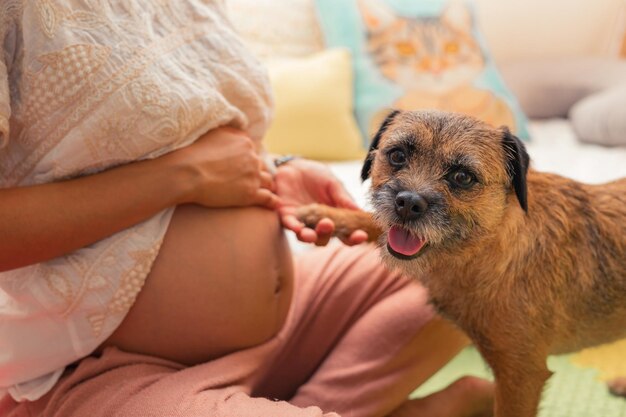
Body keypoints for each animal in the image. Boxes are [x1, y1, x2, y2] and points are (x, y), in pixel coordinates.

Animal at [296, 109, 624, 416]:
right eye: (397, 155)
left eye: (463, 177)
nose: (408, 203)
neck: (483, 245)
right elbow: (373, 223)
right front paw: (326, 214)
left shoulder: (521, 376)